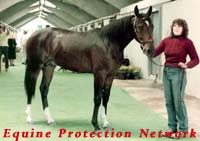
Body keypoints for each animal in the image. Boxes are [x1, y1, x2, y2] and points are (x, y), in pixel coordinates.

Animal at [24, 5, 154, 131]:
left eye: (152, 26)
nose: (150, 50)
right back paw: (29, 118)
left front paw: (105, 123)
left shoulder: (110, 75)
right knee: (30, 88)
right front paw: (95, 125)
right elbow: (97, 98)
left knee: (43, 89)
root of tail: (33, 35)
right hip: (35, 66)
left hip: (49, 67)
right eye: (140, 26)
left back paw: (50, 119)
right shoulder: (99, 74)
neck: (108, 42)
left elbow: (106, 97)